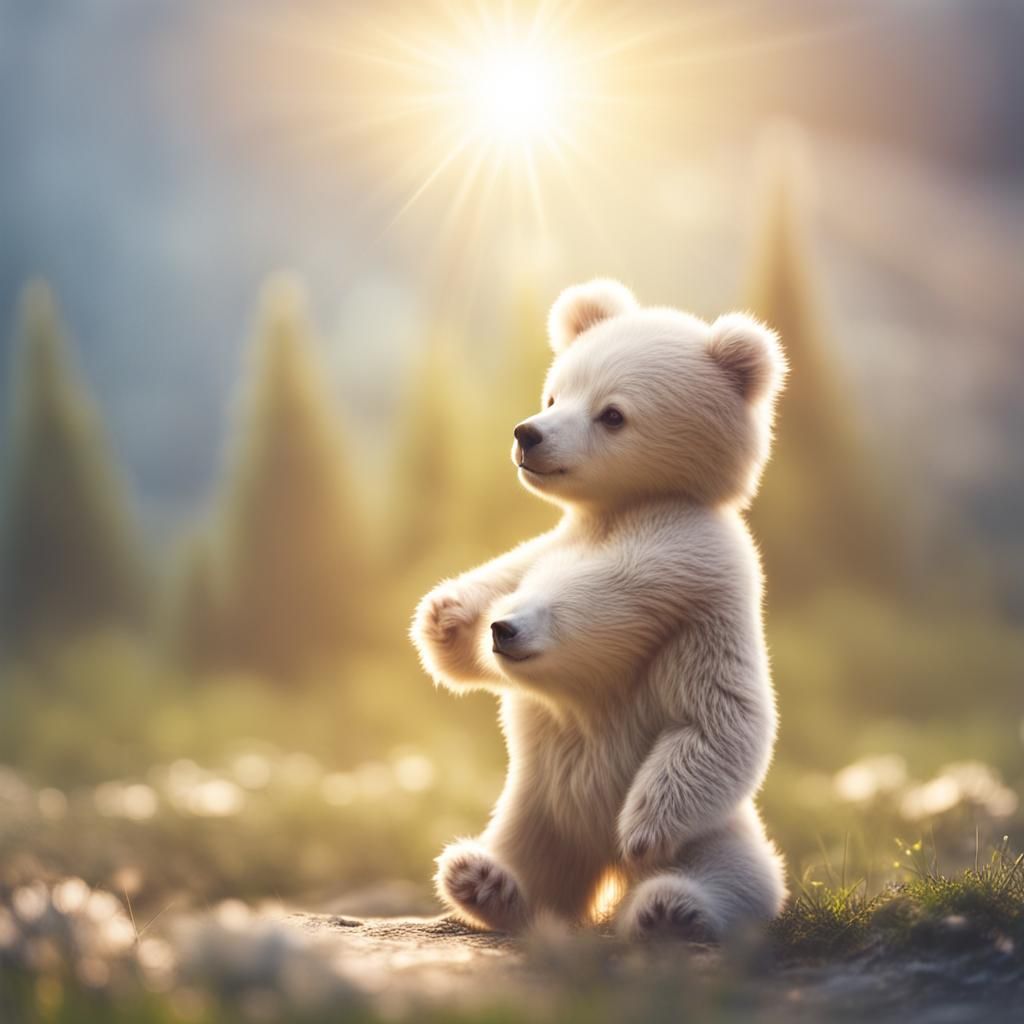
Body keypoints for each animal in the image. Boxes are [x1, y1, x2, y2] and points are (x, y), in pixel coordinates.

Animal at [410, 279, 788, 941]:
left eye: (612, 413)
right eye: (555, 393)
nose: (528, 434)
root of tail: (600, 869)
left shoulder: (708, 594)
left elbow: (718, 721)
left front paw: (641, 829)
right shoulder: (560, 539)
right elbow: (511, 564)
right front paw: (444, 616)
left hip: (716, 832)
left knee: (737, 875)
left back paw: (670, 909)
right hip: (537, 808)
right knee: (530, 859)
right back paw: (482, 879)